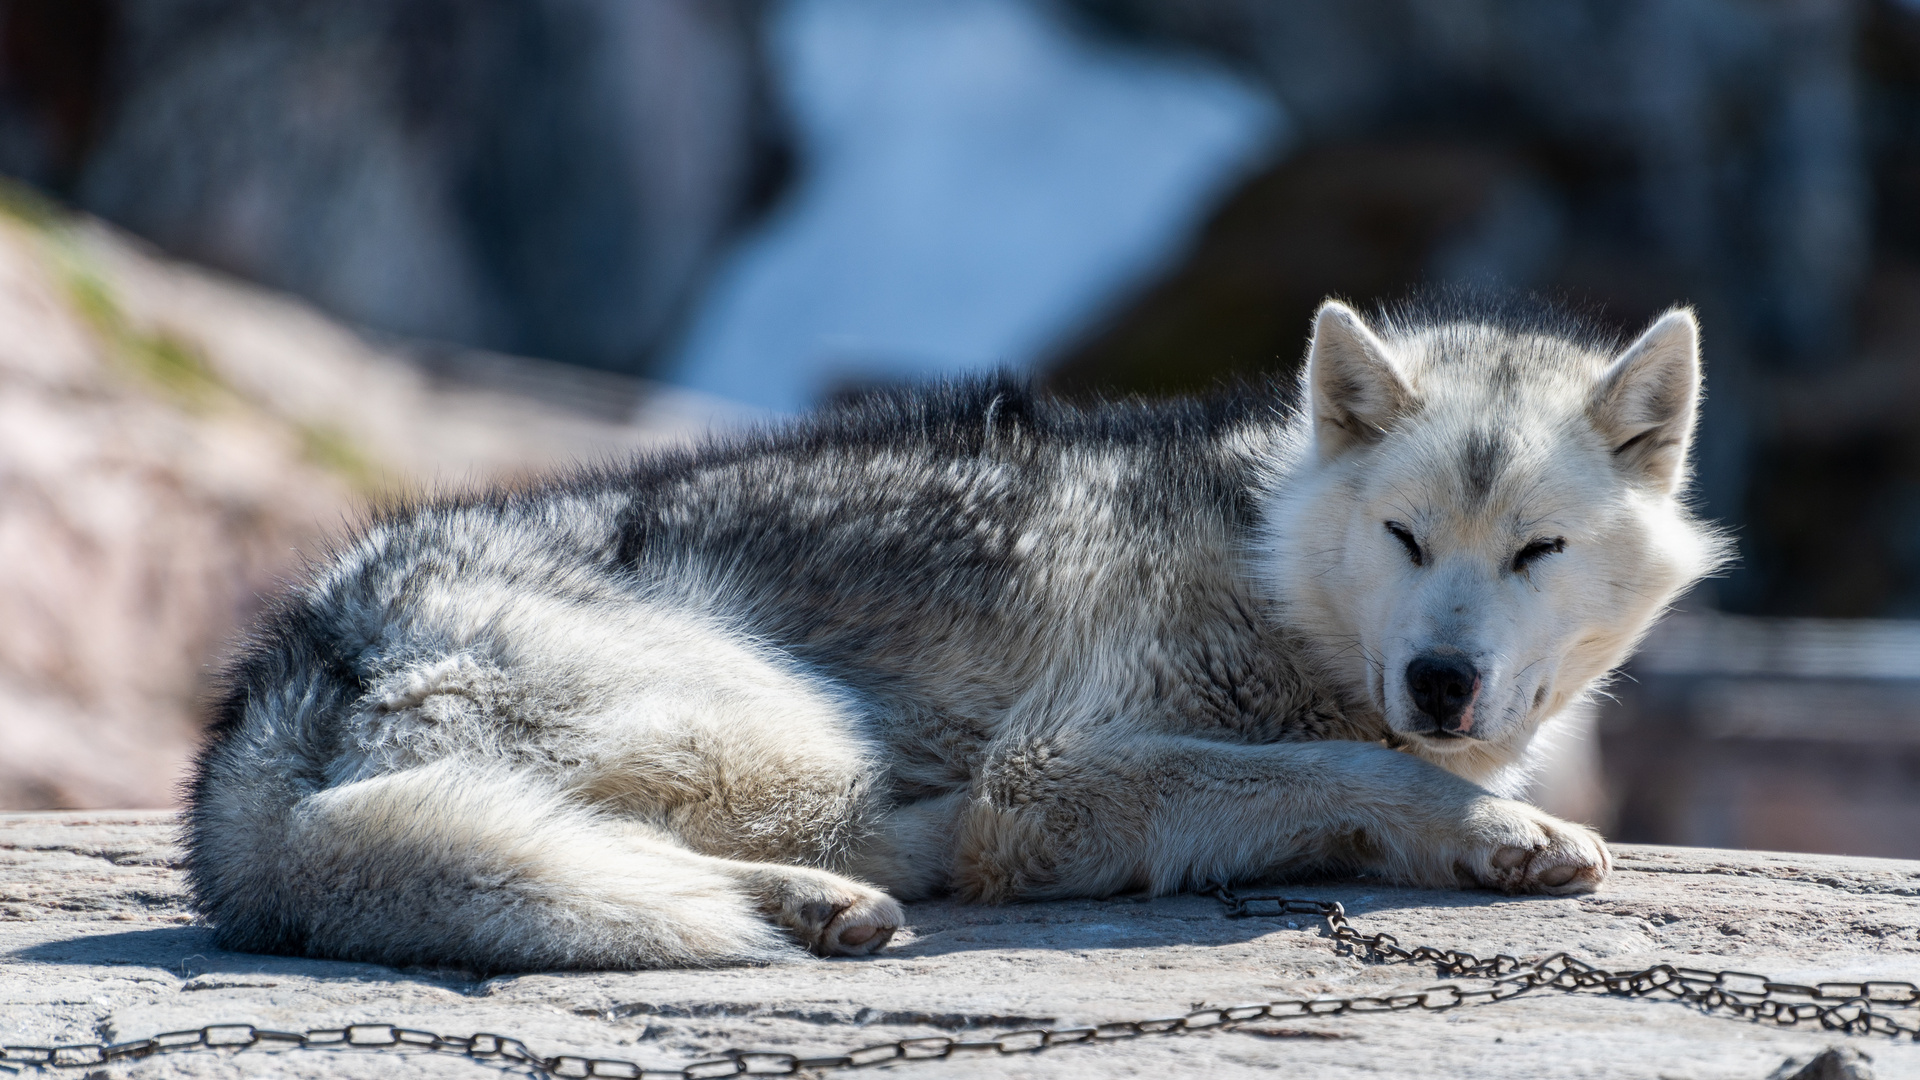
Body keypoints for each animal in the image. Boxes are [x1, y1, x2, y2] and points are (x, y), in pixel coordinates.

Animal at [187, 295, 1728, 968]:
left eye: (1537, 550)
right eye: (1407, 536)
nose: (1443, 679)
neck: (1268, 561)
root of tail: (297, 645)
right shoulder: (1059, 769)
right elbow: (1343, 772)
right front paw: (1498, 834)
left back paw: (820, 907)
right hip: (795, 732)